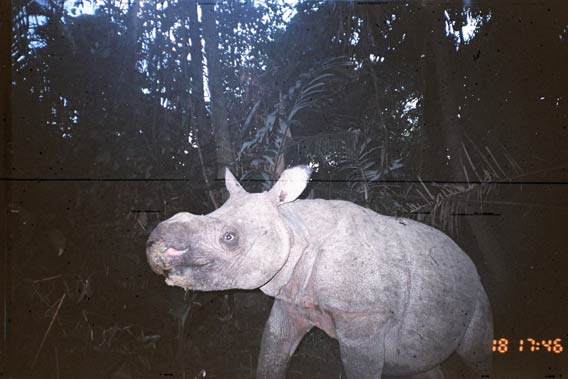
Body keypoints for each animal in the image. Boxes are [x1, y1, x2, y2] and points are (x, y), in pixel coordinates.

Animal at [145, 167, 492, 379]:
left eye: (229, 238)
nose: (154, 245)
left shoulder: (363, 316)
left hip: (477, 290)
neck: (294, 229)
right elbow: (273, 352)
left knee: (476, 351)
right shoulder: (291, 301)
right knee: (420, 363)